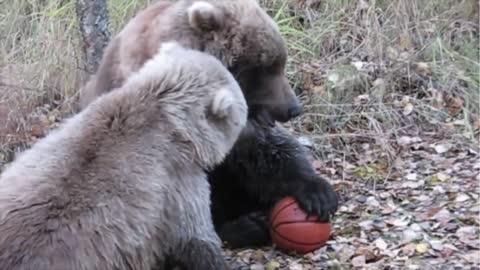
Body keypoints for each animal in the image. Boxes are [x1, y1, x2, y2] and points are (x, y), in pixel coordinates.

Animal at [79, 0, 340, 249]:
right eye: (265, 67)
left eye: (280, 63)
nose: (293, 108)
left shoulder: (244, 129)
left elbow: (268, 151)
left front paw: (319, 193)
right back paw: (246, 225)